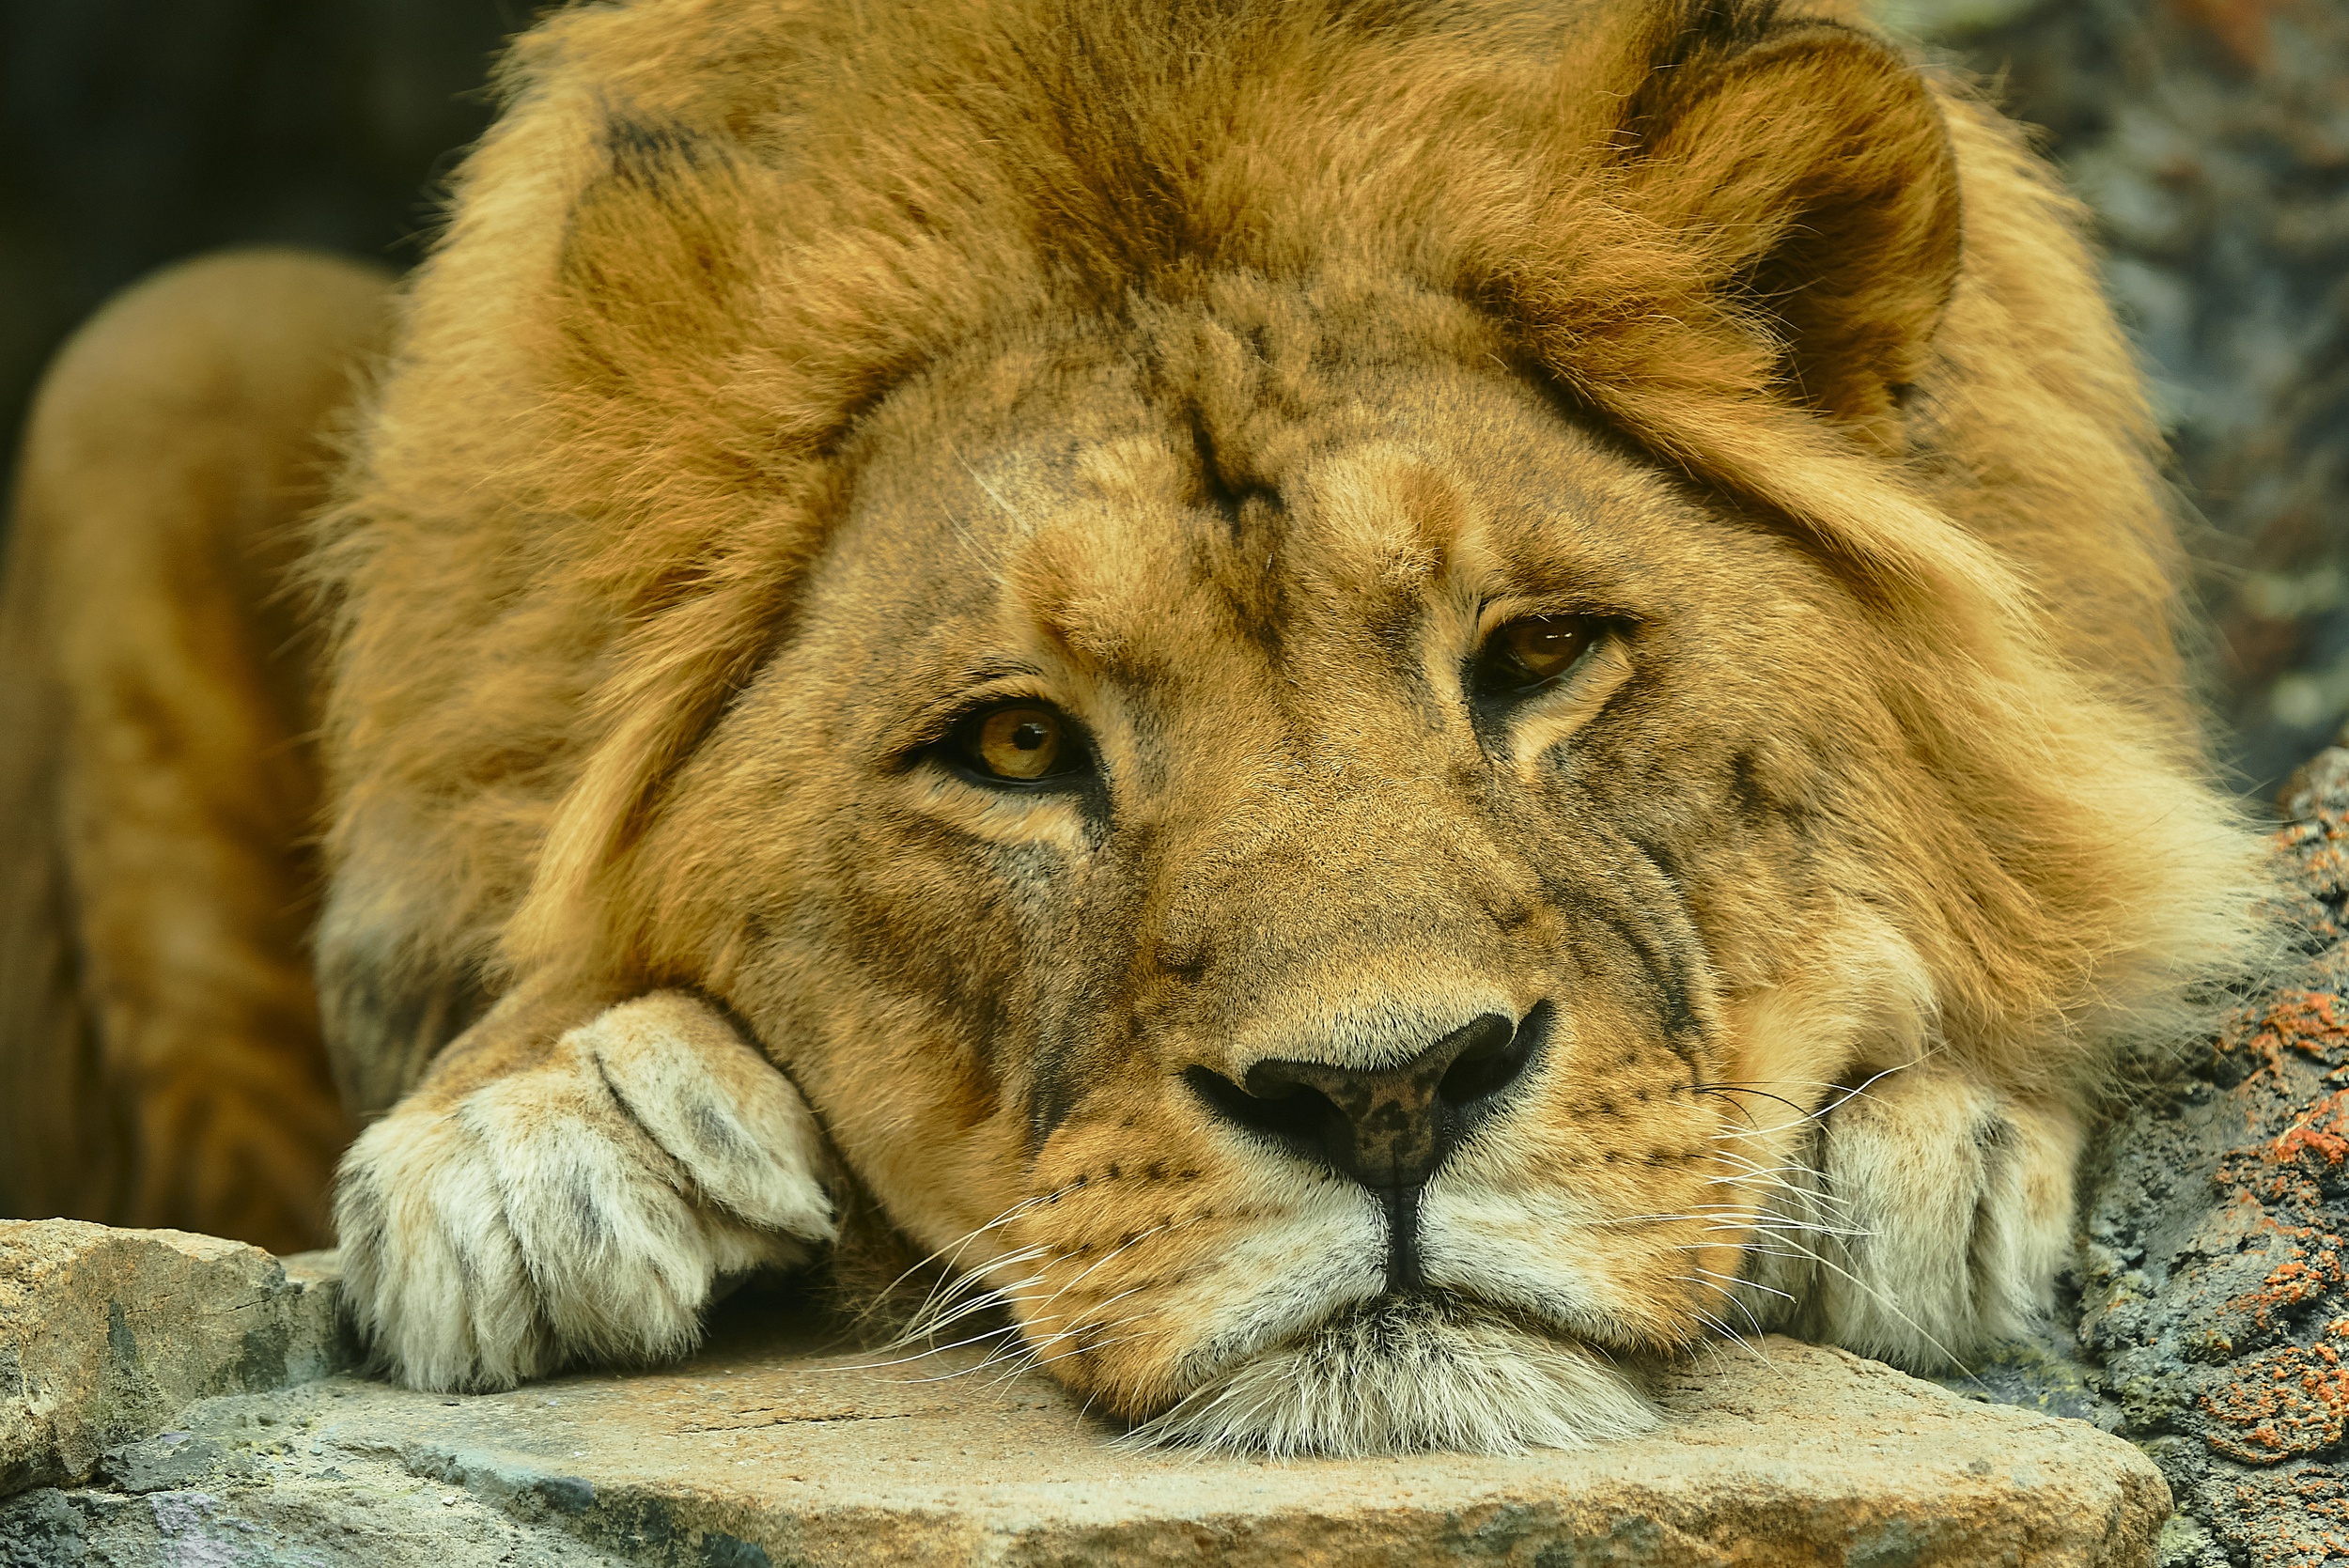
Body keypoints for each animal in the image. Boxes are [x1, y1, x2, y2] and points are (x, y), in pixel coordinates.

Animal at [0, 0, 2274, 1455]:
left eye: (1541, 654)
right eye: (1016, 748)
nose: (1385, 1096)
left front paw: (1928, 1151)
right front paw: (542, 1139)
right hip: (150, 354)